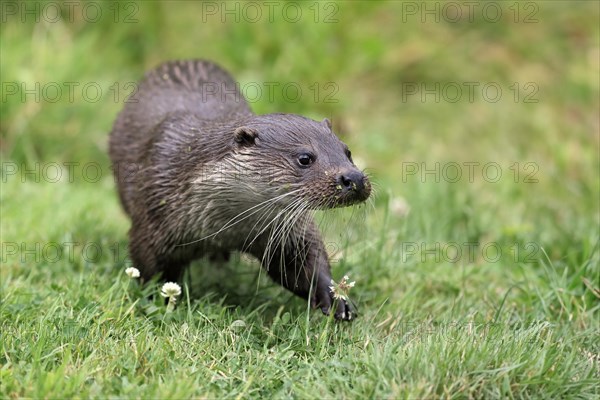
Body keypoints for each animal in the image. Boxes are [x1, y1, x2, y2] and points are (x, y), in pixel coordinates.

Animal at [108, 60, 370, 322]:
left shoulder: (285, 233)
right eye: (305, 158)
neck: (222, 230)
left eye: (347, 152)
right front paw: (160, 305)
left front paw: (335, 298)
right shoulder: (152, 225)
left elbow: (305, 264)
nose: (354, 178)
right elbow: (151, 272)